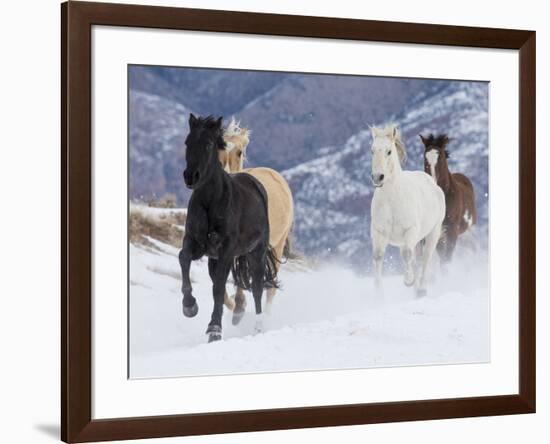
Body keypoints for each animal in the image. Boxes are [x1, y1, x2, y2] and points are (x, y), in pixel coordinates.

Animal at [179, 112, 278, 342]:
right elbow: (183, 258)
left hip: (256, 252)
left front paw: (214, 330)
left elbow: (219, 288)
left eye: (208, 144)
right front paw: (189, 307)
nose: (190, 176)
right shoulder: (196, 244)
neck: (210, 202)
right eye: (187, 142)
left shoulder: (226, 251)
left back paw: (258, 327)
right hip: (215, 259)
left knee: (257, 287)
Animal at [368, 123, 446, 294]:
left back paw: (421, 289)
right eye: (372, 150)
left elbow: (407, 255)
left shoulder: (410, 231)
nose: (378, 177)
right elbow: (378, 256)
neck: (392, 200)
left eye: (389, 151)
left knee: (425, 259)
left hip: (432, 233)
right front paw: (378, 293)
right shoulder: (378, 232)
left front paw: (408, 281)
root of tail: (432, 182)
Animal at [422, 132, 478, 264]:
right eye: (425, 158)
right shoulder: (438, 233)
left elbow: (447, 260)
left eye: (441, 158)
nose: (432, 182)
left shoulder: (452, 232)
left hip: (466, 230)